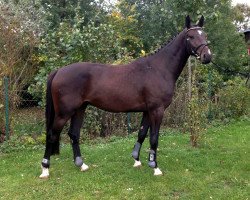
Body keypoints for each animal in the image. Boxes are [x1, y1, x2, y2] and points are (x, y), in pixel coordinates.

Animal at [39, 15, 211, 178]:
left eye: (204, 34)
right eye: (191, 37)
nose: (207, 56)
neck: (158, 69)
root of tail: (58, 71)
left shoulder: (147, 111)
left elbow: (142, 134)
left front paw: (137, 160)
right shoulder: (157, 110)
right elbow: (154, 138)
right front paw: (155, 167)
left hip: (80, 109)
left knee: (74, 134)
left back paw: (81, 165)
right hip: (64, 113)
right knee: (52, 135)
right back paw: (45, 169)